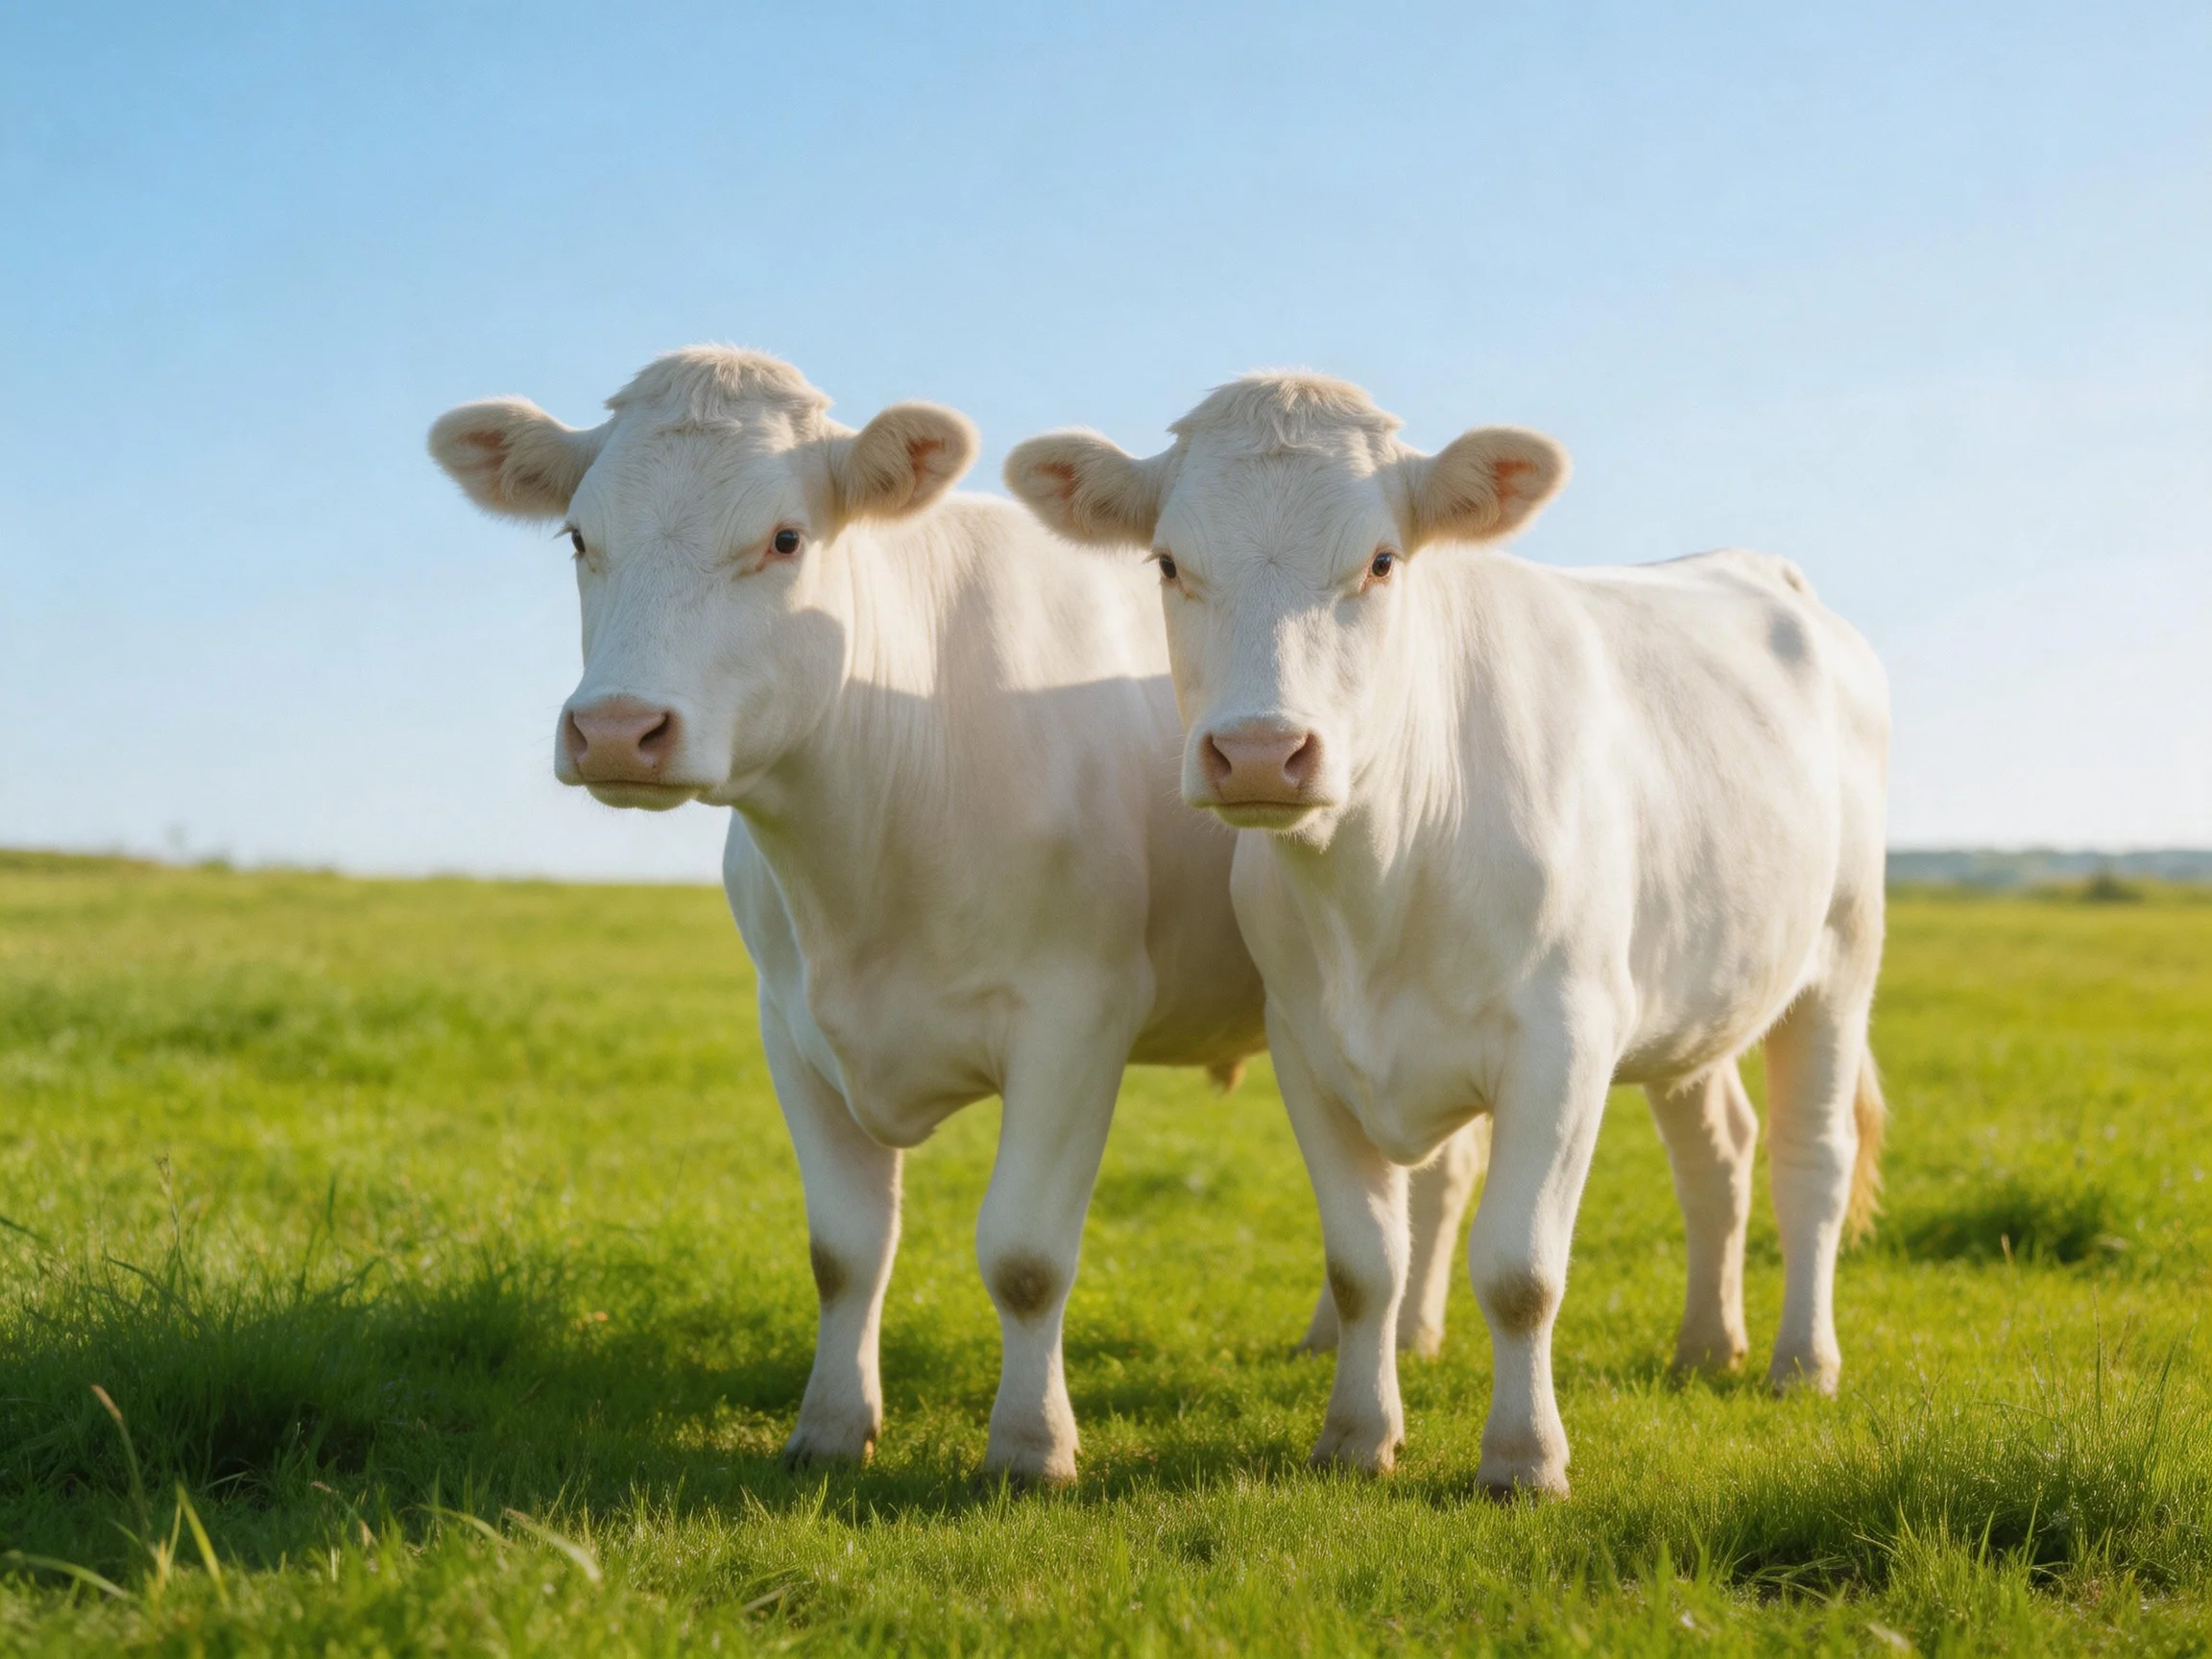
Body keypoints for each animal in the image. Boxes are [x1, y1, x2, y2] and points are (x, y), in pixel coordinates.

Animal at [427, 349, 1480, 1483]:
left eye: (785, 538)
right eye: (581, 536)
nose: (619, 729)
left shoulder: (1077, 1019)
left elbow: (1024, 1255)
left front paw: (1030, 1447)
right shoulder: (788, 1026)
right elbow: (844, 1252)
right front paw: (830, 1428)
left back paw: (1414, 1333)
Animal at [1006, 372, 1890, 1496]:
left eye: (1382, 561)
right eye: (1168, 562)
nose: (1259, 753)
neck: (1380, 878)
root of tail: (1758, 568)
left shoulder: (1566, 1041)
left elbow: (1521, 1272)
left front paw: (1523, 1458)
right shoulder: (1305, 1047)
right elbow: (1363, 1265)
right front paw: (1355, 1435)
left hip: (1840, 961)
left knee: (1809, 1159)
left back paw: (1801, 1363)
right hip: (1695, 991)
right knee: (1717, 1155)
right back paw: (1705, 1343)